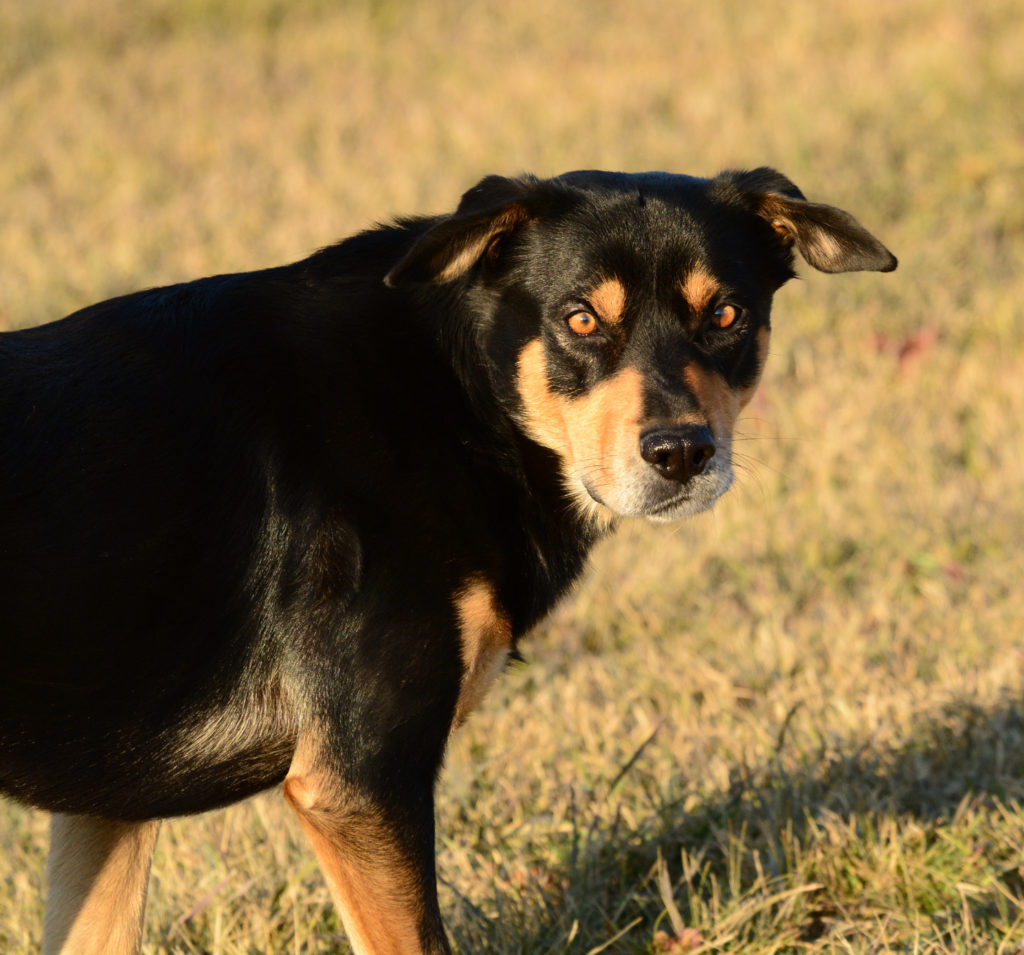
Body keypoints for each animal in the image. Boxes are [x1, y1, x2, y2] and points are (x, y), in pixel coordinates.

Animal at [0, 167, 897, 949]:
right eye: (579, 319)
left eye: (727, 315)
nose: (682, 452)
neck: (456, 389)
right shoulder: (359, 779)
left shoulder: (106, 805)